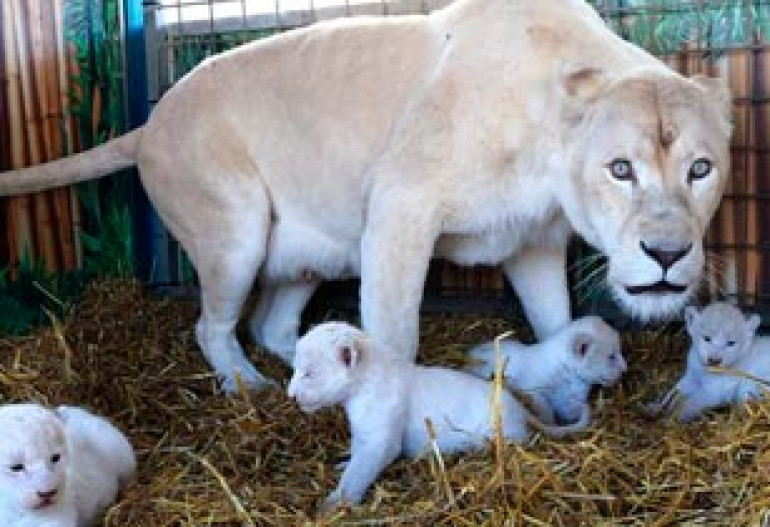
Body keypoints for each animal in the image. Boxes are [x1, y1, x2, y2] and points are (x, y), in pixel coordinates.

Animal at [0, 0, 731, 391]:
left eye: (700, 169)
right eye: (620, 169)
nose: (668, 254)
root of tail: (149, 121)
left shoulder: (535, 241)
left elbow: (556, 319)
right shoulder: (400, 207)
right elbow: (399, 332)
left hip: (309, 253)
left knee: (271, 325)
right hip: (235, 233)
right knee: (214, 326)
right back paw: (247, 385)